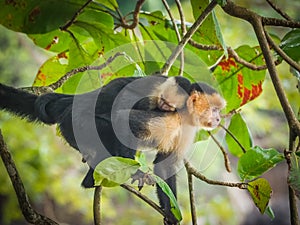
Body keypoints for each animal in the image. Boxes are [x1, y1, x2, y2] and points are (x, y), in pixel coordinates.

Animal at [0, 76, 225, 225]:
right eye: (214, 109)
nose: (218, 119)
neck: (185, 113)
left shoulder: (187, 128)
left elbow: (166, 164)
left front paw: (170, 213)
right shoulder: (169, 115)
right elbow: (122, 122)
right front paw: (137, 173)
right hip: (76, 122)